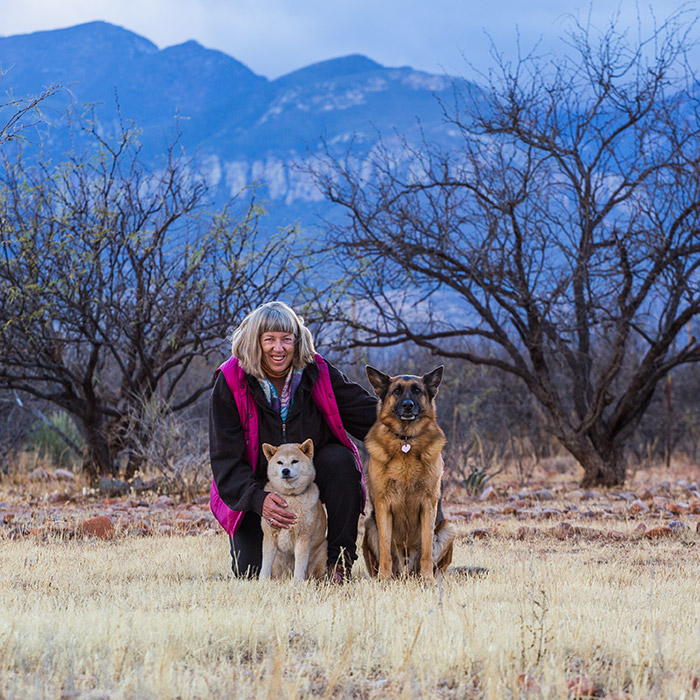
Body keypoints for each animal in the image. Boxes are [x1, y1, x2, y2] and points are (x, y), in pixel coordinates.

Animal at [262, 440, 330, 584]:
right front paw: (262, 582)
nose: (285, 471)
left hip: (322, 553)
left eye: (294, 461)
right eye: (280, 462)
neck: (290, 497)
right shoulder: (269, 537)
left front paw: (297, 583)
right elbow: (265, 565)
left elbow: (300, 565)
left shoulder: (303, 538)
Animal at [364, 366, 456, 580]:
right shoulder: (383, 505)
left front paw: (427, 579)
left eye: (417, 390)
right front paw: (384, 579)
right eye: (396, 391)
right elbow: (386, 549)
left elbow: (427, 550)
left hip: (449, 529)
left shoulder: (428, 504)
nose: (407, 405)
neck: (405, 439)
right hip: (369, 525)